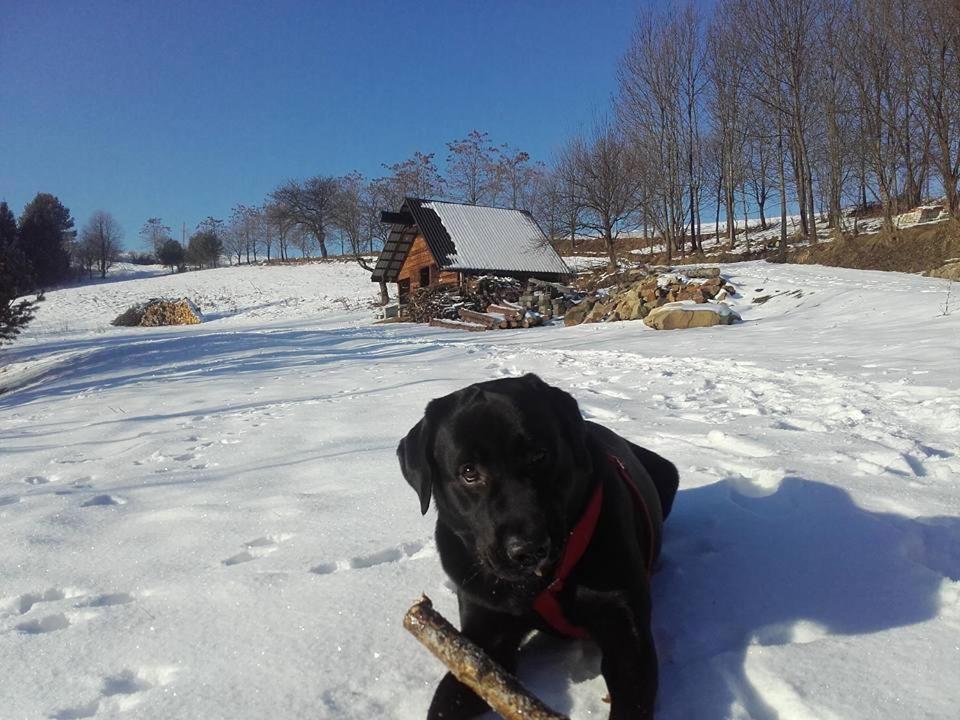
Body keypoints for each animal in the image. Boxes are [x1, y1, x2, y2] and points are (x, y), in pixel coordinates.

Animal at [396, 374, 676, 716]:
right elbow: (449, 697)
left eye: (539, 455)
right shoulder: (483, 638)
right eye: (468, 472)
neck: (543, 583)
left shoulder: (626, 630)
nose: (528, 550)